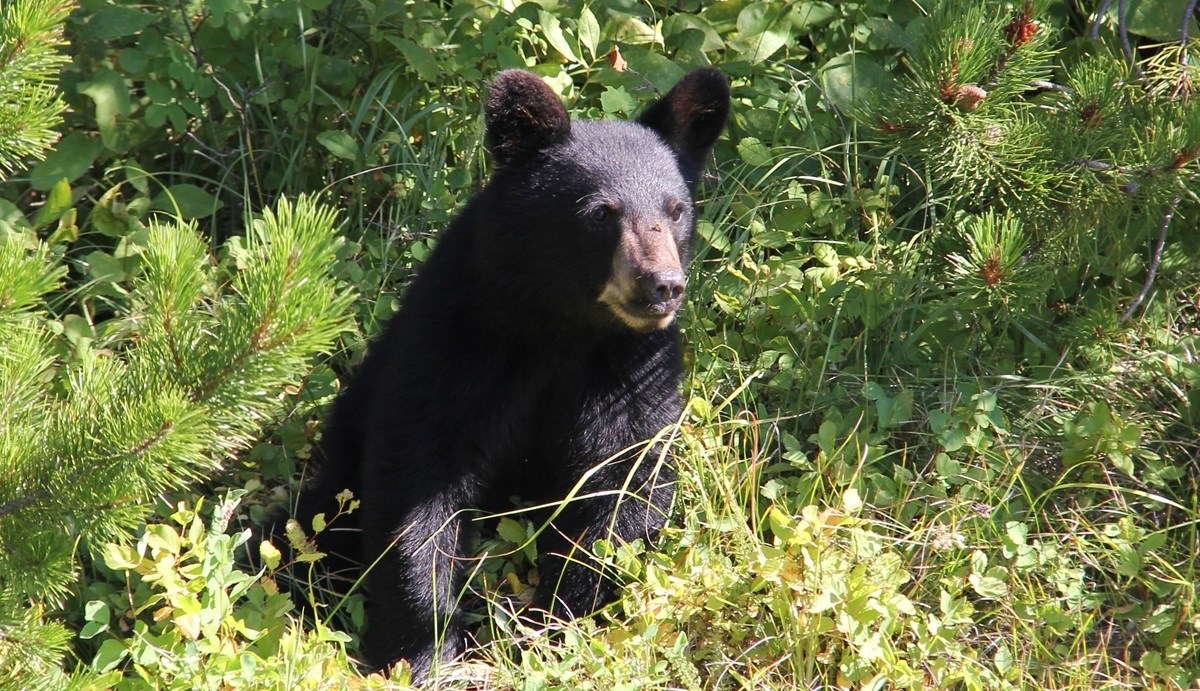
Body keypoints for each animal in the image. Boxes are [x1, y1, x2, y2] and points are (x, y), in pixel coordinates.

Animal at [295, 67, 729, 676]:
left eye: (675, 209)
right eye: (601, 211)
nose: (661, 285)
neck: (561, 327)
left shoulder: (632, 367)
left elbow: (622, 479)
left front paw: (559, 624)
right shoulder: (459, 340)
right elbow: (419, 477)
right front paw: (422, 649)